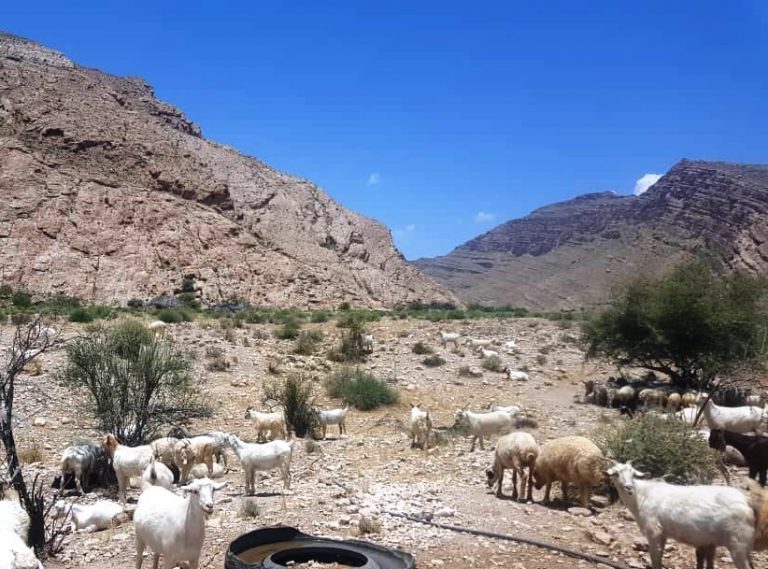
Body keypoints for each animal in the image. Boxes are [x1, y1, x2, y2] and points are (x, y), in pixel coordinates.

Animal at [608, 460, 752, 568]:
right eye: (615, 474)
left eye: (633, 474)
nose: (628, 487)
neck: (641, 496)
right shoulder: (663, 533)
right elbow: (659, 556)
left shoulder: (654, 531)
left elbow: (655, 558)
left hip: (738, 543)